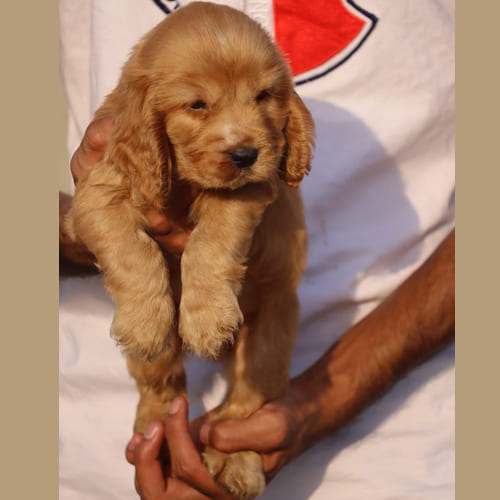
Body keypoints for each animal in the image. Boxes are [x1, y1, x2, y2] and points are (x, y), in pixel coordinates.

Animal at [64, 1, 314, 498]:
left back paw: (236, 459)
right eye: (197, 104)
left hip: (270, 335)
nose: (245, 154)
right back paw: (155, 432)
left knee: (247, 400)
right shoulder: (99, 188)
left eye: (263, 96)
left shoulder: (248, 191)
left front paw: (207, 319)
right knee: (161, 383)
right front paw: (145, 321)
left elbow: (210, 241)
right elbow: (132, 252)